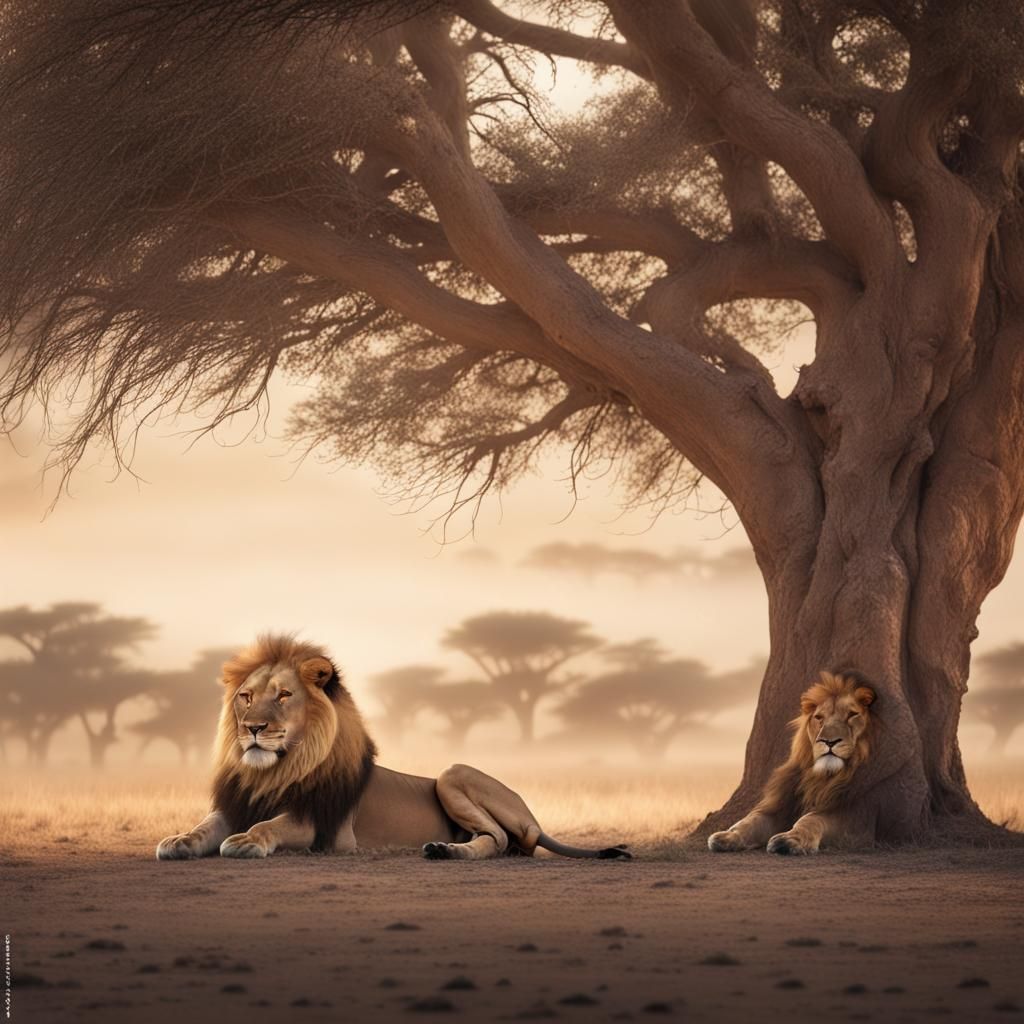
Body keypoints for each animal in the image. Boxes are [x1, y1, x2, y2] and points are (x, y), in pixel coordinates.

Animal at [156, 635, 631, 862]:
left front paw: (246, 841)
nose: (252, 728)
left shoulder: (326, 826)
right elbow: (205, 826)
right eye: (246, 697)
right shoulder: (235, 804)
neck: (276, 769)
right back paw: (442, 848)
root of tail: (530, 813)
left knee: (497, 838)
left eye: (285, 696)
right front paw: (178, 840)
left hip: (453, 773)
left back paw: (448, 852)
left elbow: (270, 825)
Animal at [707, 670, 876, 855]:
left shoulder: (859, 816)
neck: (821, 776)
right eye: (819, 717)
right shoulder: (783, 804)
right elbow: (751, 820)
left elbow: (811, 818)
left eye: (852, 714)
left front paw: (790, 840)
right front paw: (728, 836)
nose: (828, 741)